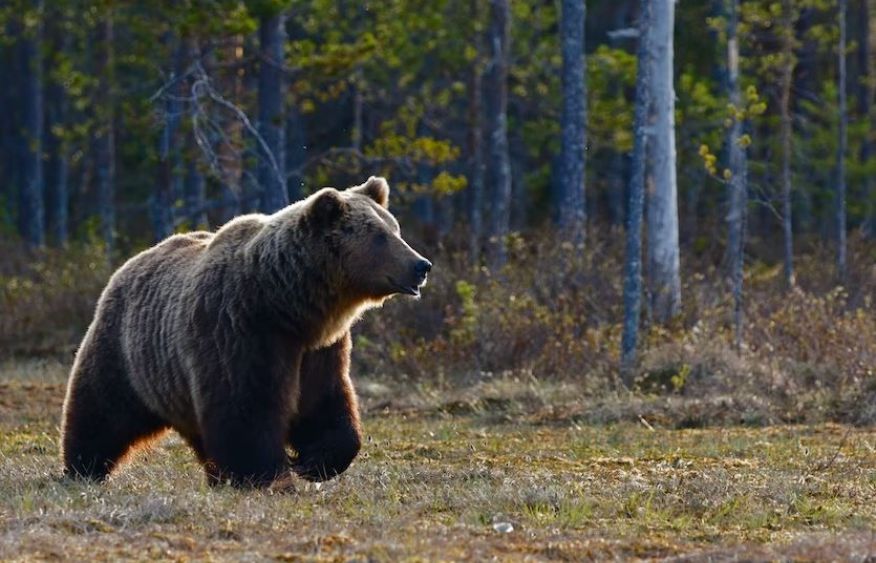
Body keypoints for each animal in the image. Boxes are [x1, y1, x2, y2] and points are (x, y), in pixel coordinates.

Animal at [60, 176, 431, 488]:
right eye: (380, 236)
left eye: (395, 228)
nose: (421, 265)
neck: (289, 305)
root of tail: (130, 263)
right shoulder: (240, 330)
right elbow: (246, 408)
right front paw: (266, 475)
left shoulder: (319, 349)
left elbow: (325, 402)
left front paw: (315, 462)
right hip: (127, 352)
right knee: (101, 410)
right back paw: (83, 468)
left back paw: (215, 475)